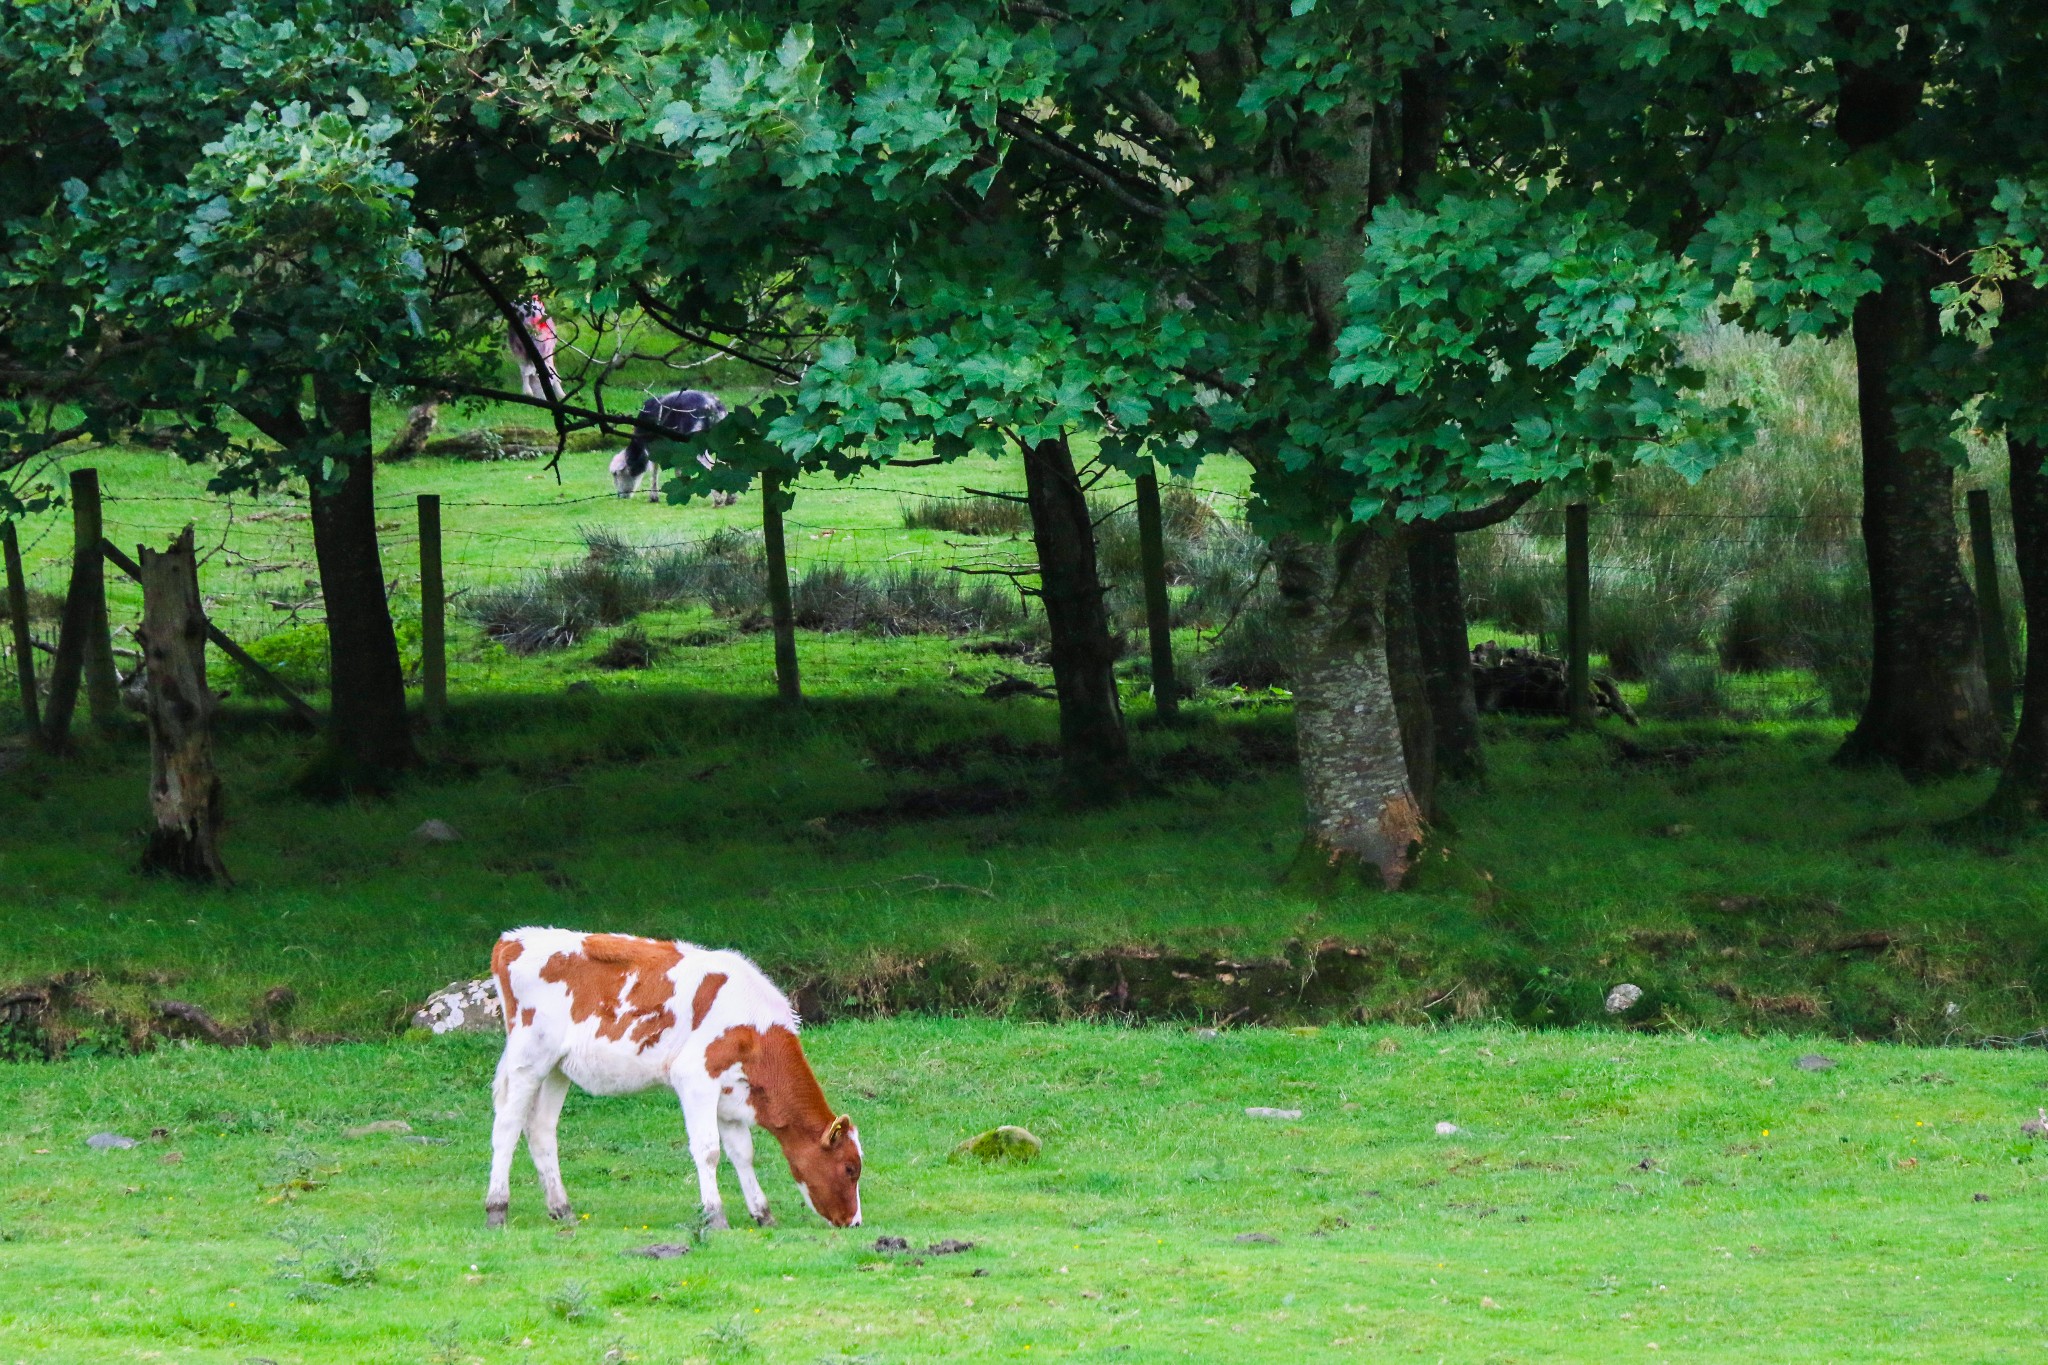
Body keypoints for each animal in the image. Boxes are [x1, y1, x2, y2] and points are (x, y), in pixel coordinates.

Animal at [483, 933, 860, 1236]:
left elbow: (743, 1153)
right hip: (529, 1058)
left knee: (541, 1128)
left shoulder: (730, 1092)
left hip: (557, 1068)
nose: (854, 1222)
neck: (755, 1027)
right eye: (850, 1168)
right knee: (507, 1126)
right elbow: (709, 1151)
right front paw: (716, 1217)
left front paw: (762, 1213)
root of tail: (512, 939)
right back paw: (496, 1209)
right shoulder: (696, 1078)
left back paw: (563, 1210)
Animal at [606, 386, 737, 505]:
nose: (620, 496)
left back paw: (718, 500)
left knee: (711, 466)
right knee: (727, 465)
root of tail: (713, 406)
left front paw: (654, 497)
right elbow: (678, 471)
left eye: (615, 474)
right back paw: (731, 499)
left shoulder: (654, 447)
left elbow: (654, 469)